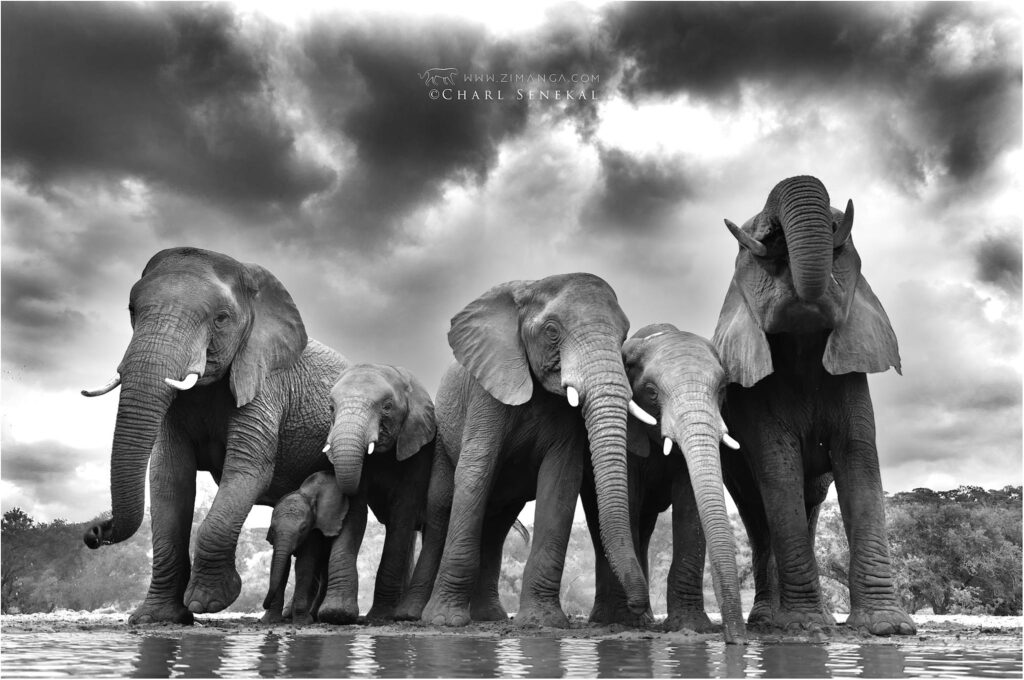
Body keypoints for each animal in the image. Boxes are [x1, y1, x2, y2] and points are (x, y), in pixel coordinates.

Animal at [263, 470, 348, 624]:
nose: (263, 604)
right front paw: (270, 620)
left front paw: (303, 621)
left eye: (303, 528)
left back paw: (314, 616)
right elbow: (281, 565)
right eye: (272, 529)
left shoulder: (313, 533)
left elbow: (304, 564)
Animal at [315, 362, 437, 624]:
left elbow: (402, 514)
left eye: (387, 407)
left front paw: (380, 616)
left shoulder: (420, 450)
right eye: (331, 407)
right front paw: (337, 614)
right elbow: (354, 512)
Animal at [420, 272, 657, 628]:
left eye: (624, 335)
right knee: (440, 509)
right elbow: (476, 470)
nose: (638, 607)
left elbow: (560, 483)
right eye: (552, 331)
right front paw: (445, 621)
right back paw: (417, 614)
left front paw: (542, 622)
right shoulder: (485, 391)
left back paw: (490, 617)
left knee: (497, 524)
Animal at [581, 323, 746, 644]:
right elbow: (629, 499)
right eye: (651, 392)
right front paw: (627, 621)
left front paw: (691, 626)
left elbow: (690, 503)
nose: (737, 638)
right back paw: (619, 618)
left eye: (721, 390)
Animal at [711, 174, 915, 635]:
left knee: (810, 504)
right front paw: (804, 628)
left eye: (841, 243)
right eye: (762, 241)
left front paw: (888, 628)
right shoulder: (755, 397)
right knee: (758, 515)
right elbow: (778, 467)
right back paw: (769, 621)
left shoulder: (851, 376)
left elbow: (859, 463)